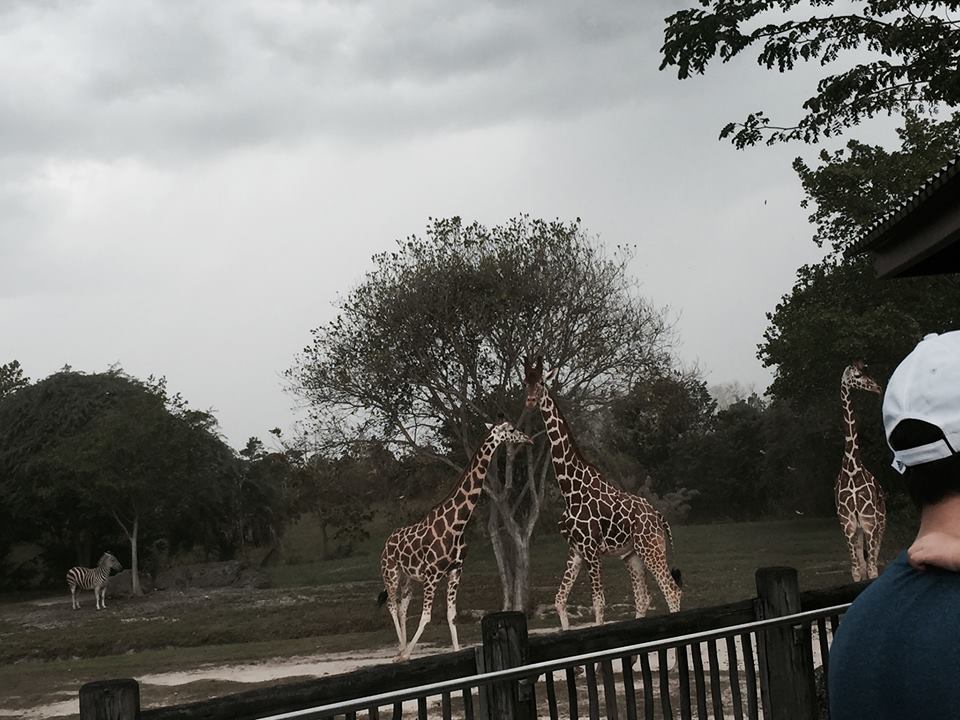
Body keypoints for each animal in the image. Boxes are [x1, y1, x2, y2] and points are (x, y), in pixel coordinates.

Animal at [378, 417, 532, 661]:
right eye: (510, 429)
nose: (528, 438)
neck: (457, 525)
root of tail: (385, 545)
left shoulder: (455, 570)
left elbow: (451, 614)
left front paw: (456, 650)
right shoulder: (433, 574)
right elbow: (426, 616)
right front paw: (407, 653)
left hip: (408, 577)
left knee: (402, 606)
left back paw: (403, 648)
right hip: (390, 572)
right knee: (392, 605)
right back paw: (402, 651)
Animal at [522, 356, 682, 629]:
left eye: (541, 382)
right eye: (526, 381)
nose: (531, 400)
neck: (570, 491)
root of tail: (658, 516)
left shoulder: (590, 549)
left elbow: (599, 604)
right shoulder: (575, 550)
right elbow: (559, 600)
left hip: (651, 548)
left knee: (671, 592)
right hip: (633, 555)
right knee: (643, 599)